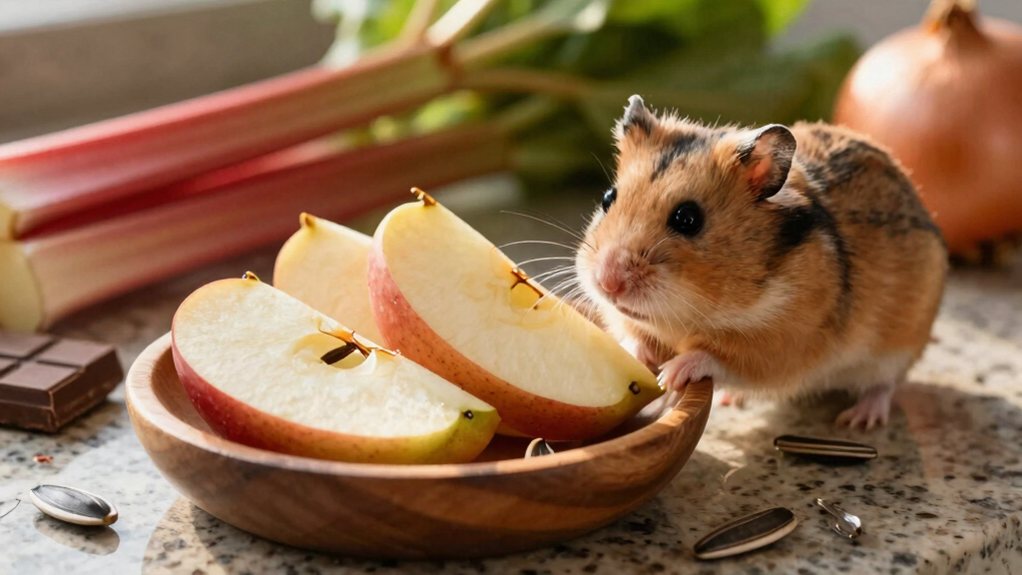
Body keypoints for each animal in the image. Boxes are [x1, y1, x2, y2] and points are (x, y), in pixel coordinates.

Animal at [576, 95, 947, 429]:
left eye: (687, 218)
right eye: (608, 198)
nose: (608, 282)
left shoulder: (781, 346)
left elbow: (717, 356)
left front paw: (672, 374)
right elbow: (634, 337)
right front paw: (635, 356)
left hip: (898, 348)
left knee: (884, 385)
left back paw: (859, 420)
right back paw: (730, 399)